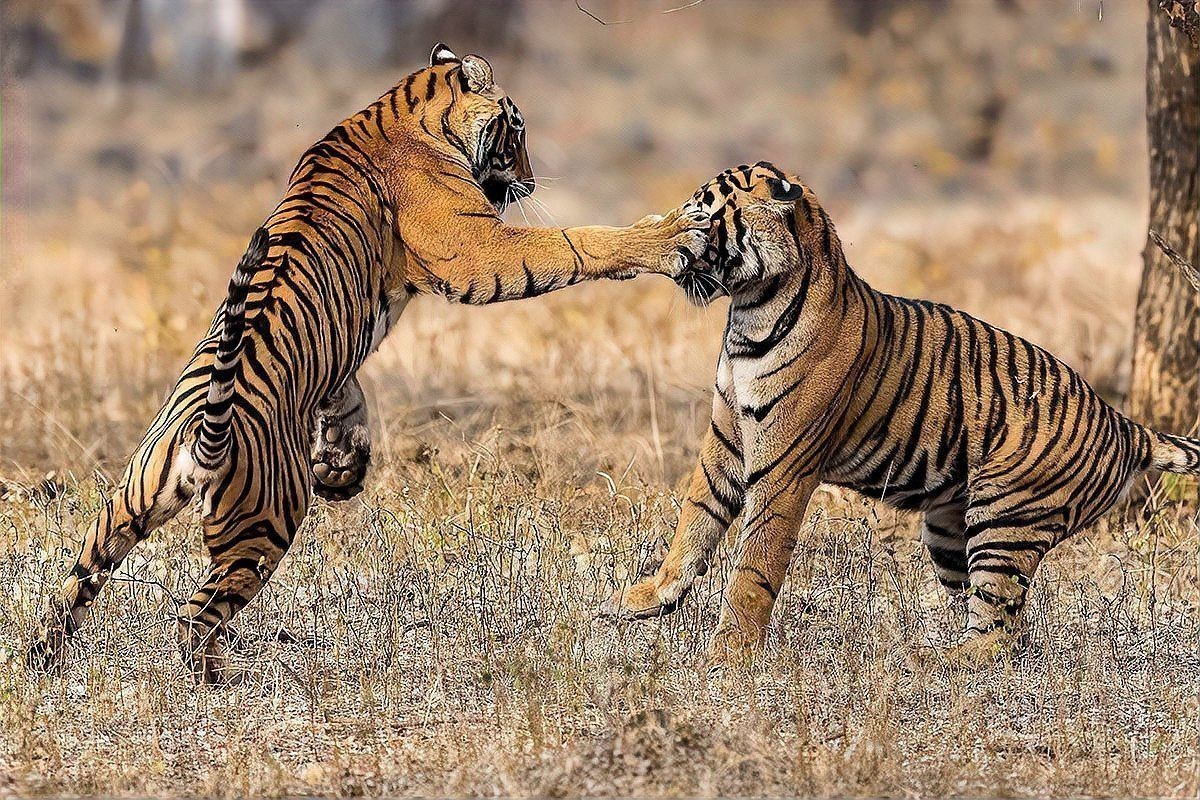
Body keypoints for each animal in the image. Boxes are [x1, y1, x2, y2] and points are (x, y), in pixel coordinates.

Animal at [28, 43, 707, 683]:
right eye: (517, 133)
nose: (532, 182)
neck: (407, 106)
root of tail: (203, 438)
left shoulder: (343, 359)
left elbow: (347, 401)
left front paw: (343, 467)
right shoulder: (477, 251)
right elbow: (575, 243)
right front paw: (667, 236)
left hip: (124, 507)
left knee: (77, 580)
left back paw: (45, 654)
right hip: (262, 528)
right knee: (194, 619)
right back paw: (214, 679)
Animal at [603, 161, 1200, 665]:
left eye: (703, 214)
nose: (672, 237)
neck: (748, 311)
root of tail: (1122, 424)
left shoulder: (783, 466)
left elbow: (754, 563)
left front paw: (730, 652)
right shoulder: (725, 438)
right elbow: (694, 522)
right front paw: (645, 599)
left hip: (1006, 521)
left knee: (999, 634)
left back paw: (931, 662)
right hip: (950, 529)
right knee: (1003, 626)